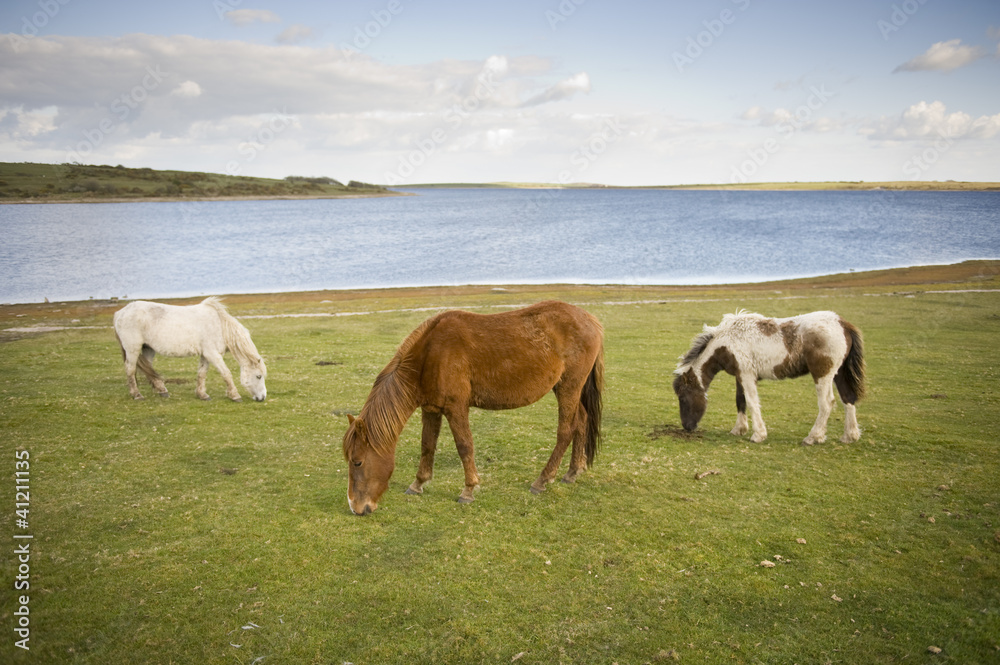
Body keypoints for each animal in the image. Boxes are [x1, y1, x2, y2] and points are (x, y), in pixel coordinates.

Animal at [113, 297, 267, 402]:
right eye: (258, 376)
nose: (262, 397)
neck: (220, 325)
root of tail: (120, 313)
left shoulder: (206, 355)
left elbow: (202, 374)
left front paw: (202, 395)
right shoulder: (213, 354)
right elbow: (226, 374)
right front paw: (234, 395)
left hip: (148, 349)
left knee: (147, 369)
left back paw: (162, 390)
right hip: (132, 349)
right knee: (130, 369)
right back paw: (137, 395)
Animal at [342, 300, 604, 516]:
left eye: (358, 462)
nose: (356, 508)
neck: (430, 354)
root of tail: (591, 319)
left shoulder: (456, 407)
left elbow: (464, 446)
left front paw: (468, 489)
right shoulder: (431, 409)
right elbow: (427, 446)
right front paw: (418, 484)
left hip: (569, 387)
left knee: (566, 431)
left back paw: (542, 480)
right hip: (568, 389)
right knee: (582, 421)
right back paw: (572, 472)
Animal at [673, 310, 865, 445]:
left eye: (683, 398)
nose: (687, 427)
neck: (727, 343)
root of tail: (842, 324)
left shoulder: (747, 376)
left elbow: (751, 402)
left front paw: (758, 435)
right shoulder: (740, 375)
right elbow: (740, 401)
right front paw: (739, 429)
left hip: (822, 375)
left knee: (827, 403)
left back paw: (813, 437)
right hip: (839, 373)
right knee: (848, 398)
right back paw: (849, 436)